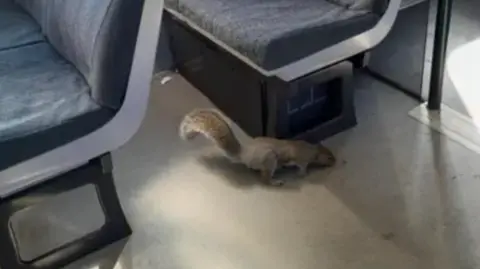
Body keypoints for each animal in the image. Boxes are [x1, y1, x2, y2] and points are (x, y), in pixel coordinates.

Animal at [180, 108, 338, 185]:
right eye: (329, 157)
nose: (335, 162)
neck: (313, 150)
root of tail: (244, 154)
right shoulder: (301, 158)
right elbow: (302, 166)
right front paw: (303, 173)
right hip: (270, 158)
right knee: (264, 179)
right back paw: (275, 181)